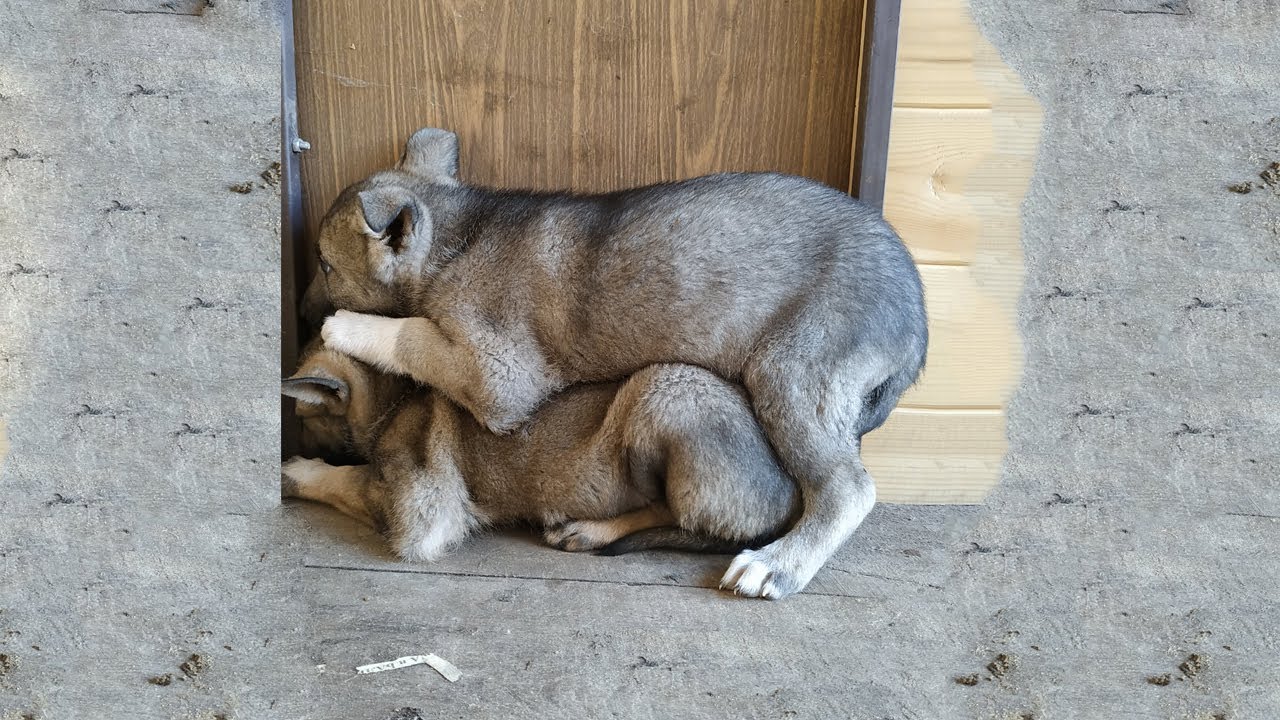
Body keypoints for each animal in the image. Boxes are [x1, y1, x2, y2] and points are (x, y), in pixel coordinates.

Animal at [285, 338, 793, 563]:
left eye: (304, 417)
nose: (295, 442)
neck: (395, 400)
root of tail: (790, 495)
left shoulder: (422, 508)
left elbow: (350, 479)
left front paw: (296, 473)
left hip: (661, 388)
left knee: (673, 511)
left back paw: (590, 531)